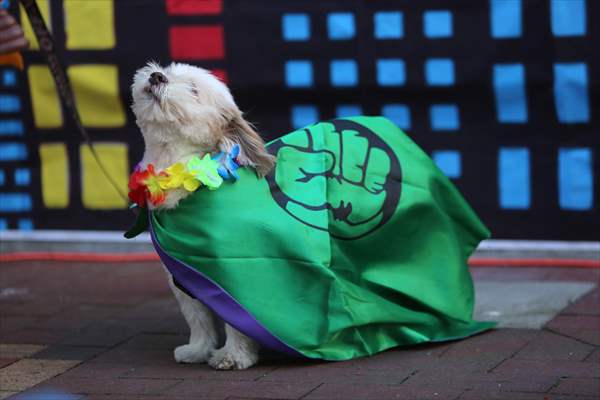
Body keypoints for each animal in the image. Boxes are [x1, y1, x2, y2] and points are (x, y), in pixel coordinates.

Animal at [130, 61, 276, 370]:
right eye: (167, 71)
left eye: (194, 89)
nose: (156, 76)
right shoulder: (184, 275)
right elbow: (198, 319)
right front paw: (197, 350)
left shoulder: (233, 273)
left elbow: (239, 321)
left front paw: (233, 356)